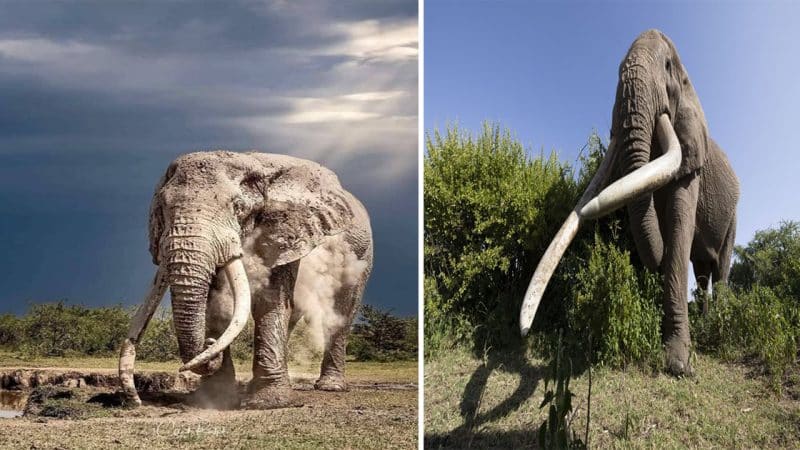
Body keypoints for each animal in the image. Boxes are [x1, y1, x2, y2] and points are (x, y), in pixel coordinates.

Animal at [117, 151, 374, 408]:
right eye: (162, 208)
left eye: (239, 208)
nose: (209, 342)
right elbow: (216, 302)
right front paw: (215, 396)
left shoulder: (284, 232)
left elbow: (269, 300)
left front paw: (269, 402)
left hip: (361, 254)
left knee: (341, 311)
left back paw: (330, 387)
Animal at [520, 29, 740, 376]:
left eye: (667, 66)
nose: (525, 333)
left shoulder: (692, 158)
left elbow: (678, 228)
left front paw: (679, 365)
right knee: (703, 271)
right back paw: (705, 323)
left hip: (733, 215)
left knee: (720, 271)